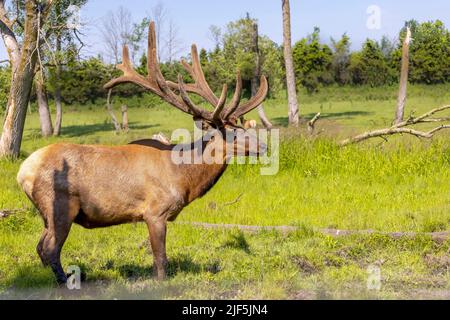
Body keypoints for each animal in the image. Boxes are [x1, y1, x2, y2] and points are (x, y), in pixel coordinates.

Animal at [17, 21, 268, 284]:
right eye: (231, 133)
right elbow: (161, 260)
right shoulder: (155, 212)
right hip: (59, 206)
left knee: (40, 247)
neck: (184, 178)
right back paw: (66, 281)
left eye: (242, 127)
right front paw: (160, 283)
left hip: (47, 214)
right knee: (49, 248)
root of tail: (22, 173)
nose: (263, 146)